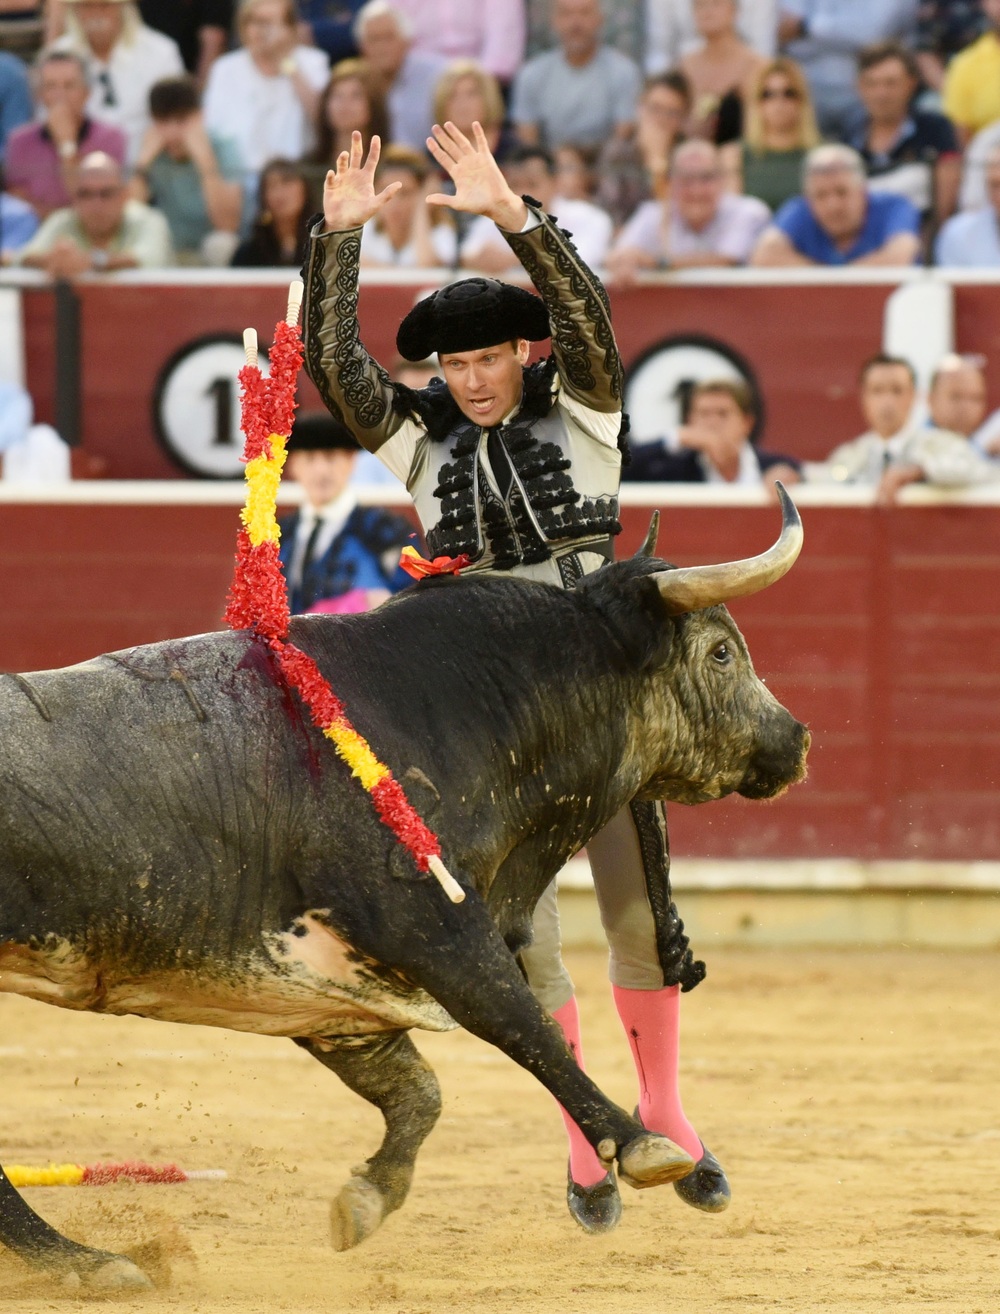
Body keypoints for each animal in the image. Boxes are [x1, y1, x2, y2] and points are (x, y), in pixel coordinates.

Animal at [0, 491, 809, 1282]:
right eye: (721, 651)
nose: (798, 740)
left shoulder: (336, 992)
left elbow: (419, 1093)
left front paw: (364, 1200)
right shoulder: (435, 932)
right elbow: (528, 1029)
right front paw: (642, 1147)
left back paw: (80, 1263)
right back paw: (82, 1265)